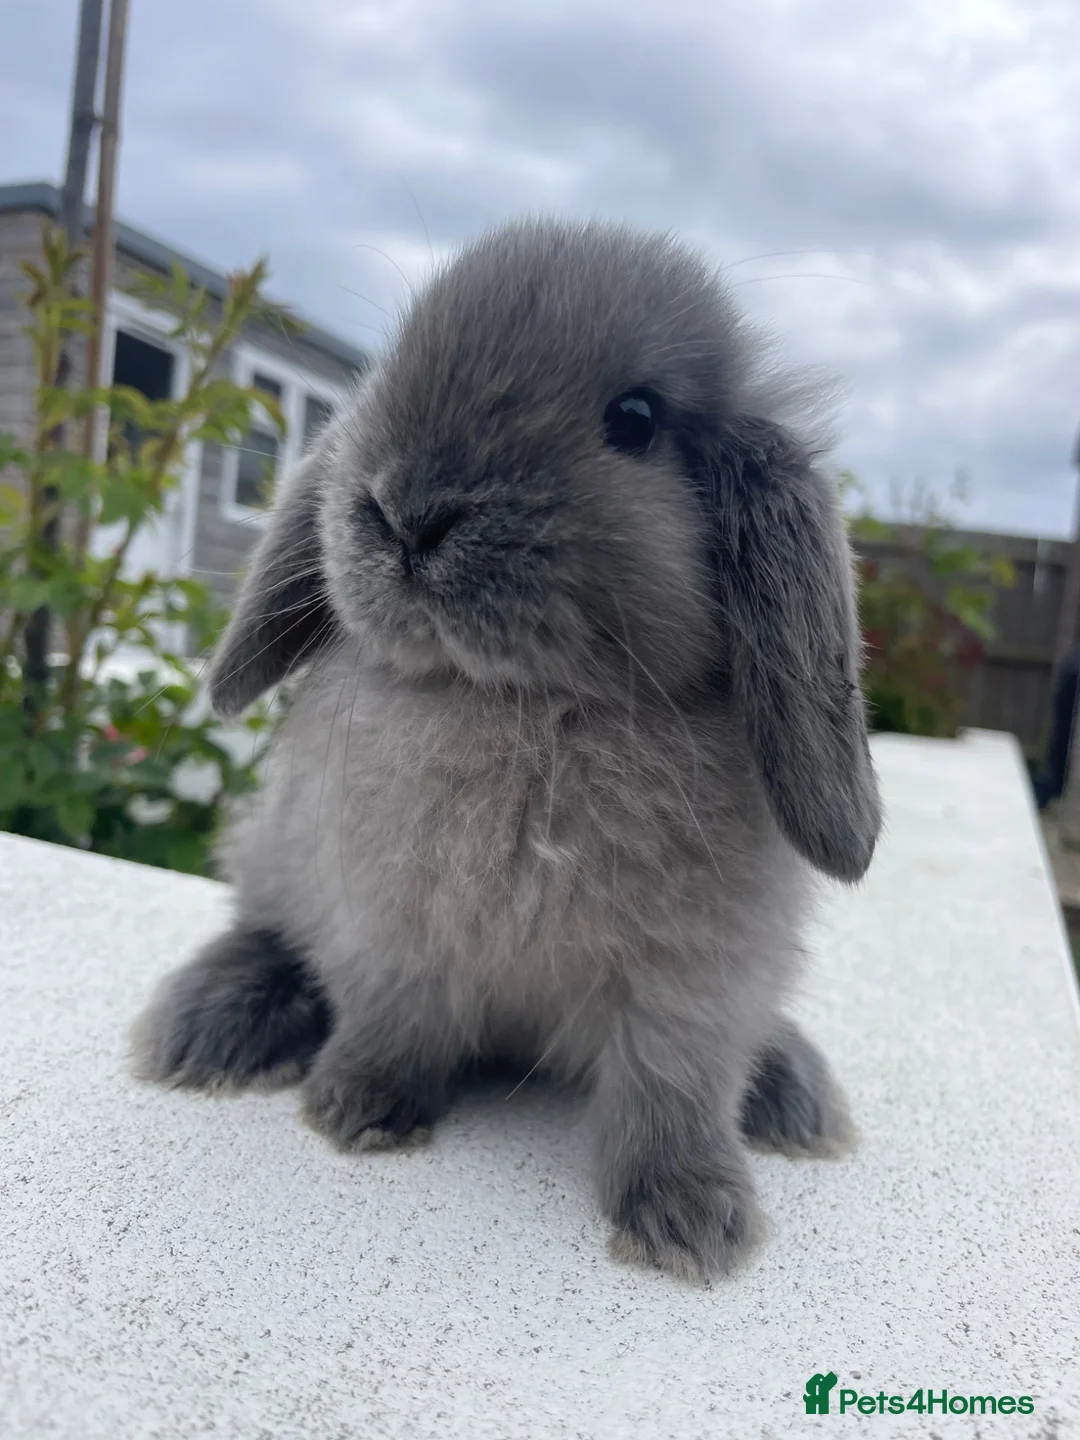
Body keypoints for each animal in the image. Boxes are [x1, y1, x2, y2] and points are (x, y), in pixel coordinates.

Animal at [131, 216, 882, 1281]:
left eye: (637, 418)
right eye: (392, 367)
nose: (409, 512)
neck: (527, 705)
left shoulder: (694, 982)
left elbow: (672, 1092)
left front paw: (691, 1221)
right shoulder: (390, 925)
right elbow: (395, 1019)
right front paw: (355, 1107)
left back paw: (789, 1093)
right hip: (279, 855)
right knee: (265, 926)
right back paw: (214, 1024)